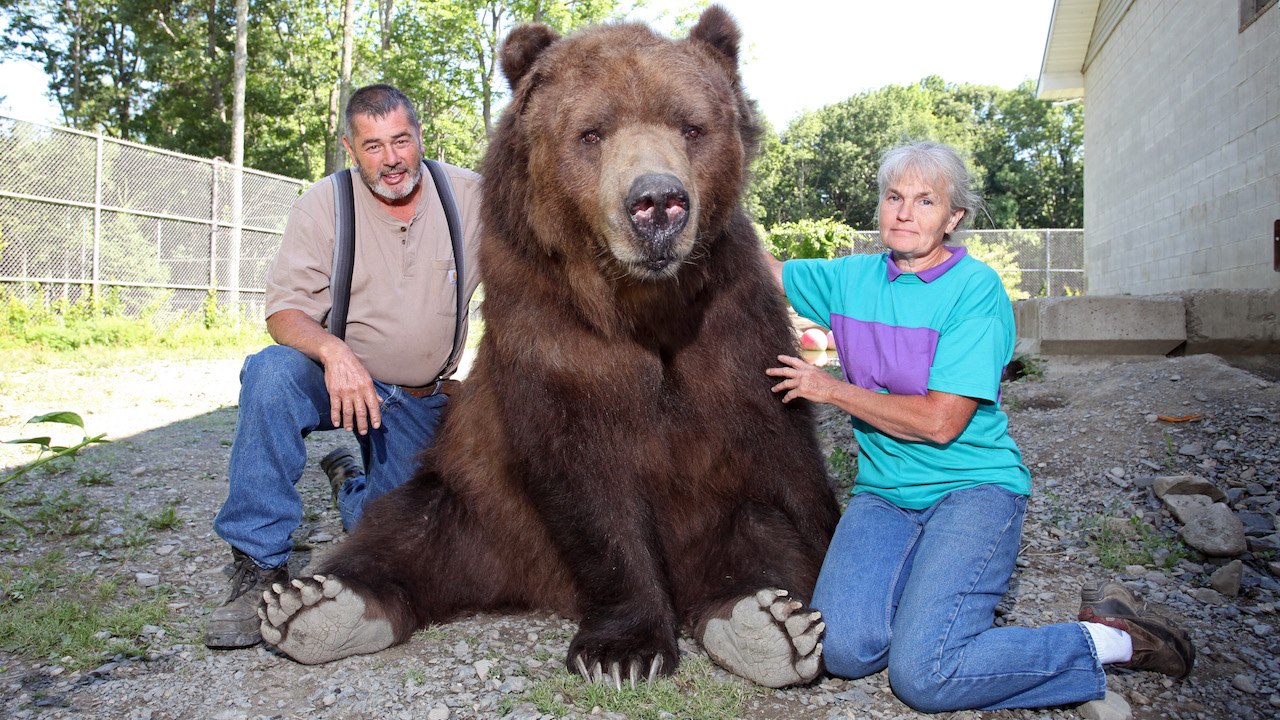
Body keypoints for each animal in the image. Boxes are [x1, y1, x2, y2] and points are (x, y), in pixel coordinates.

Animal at [258, 5, 841, 689]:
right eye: (591, 132)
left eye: (691, 125)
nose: (657, 203)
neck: (641, 305)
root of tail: (531, 587)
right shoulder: (551, 331)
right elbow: (583, 477)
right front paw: (622, 649)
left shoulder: (731, 328)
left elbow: (785, 469)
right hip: (481, 507)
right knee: (410, 529)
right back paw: (314, 605)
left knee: (753, 530)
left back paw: (769, 623)